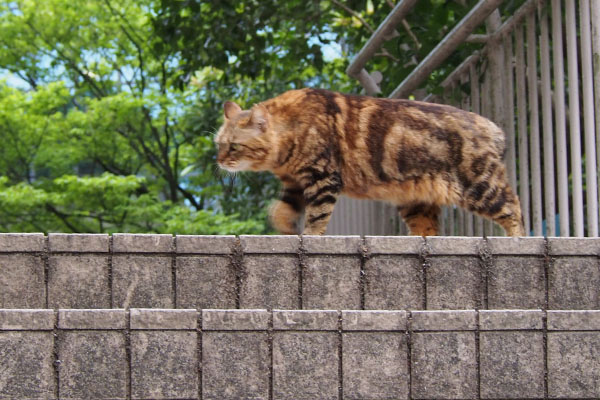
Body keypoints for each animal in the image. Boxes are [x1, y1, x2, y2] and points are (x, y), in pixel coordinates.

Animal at [213, 88, 524, 234]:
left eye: (234, 147)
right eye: (218, 145)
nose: (219, 160)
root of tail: (493, 128)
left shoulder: (322, 178)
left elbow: (316, 217)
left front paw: (309, 236)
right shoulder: (295, 184)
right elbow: (279, 211)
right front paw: (287, 230)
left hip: (481, 187)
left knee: (513, 208)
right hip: (416, 203)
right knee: (429, 231)